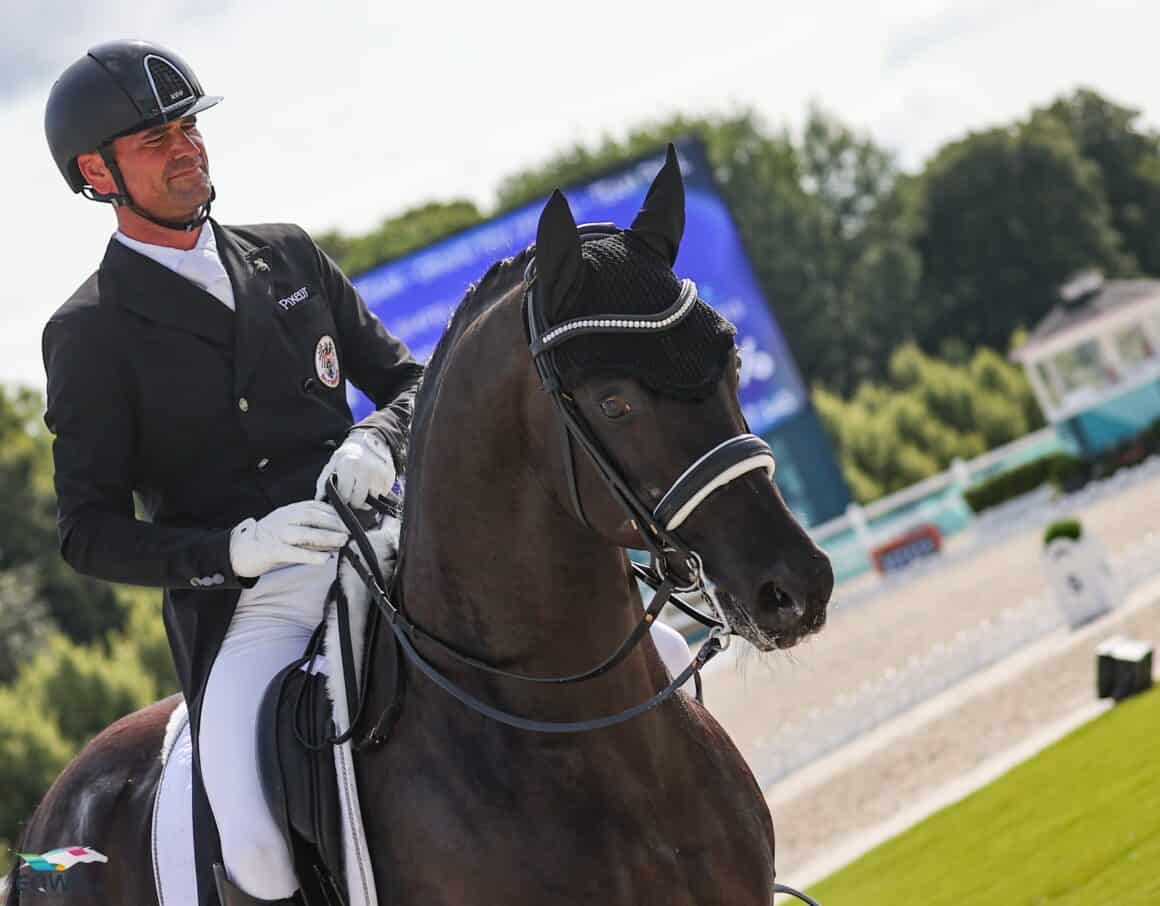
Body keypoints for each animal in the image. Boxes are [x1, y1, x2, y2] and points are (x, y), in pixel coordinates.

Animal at [4, 148, 830, 904]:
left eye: (730, 360)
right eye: (614, 402)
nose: (795, 587)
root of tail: (47, 824)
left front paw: (357, 465)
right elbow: (87, 522)